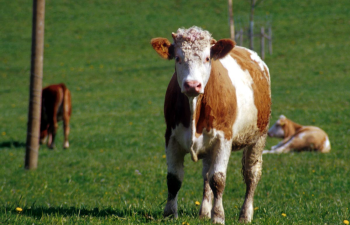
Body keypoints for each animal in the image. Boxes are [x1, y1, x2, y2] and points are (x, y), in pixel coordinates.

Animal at [150, 25, 270, 223]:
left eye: (207, 58)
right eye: (178, 57)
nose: (192, 85)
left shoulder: (224, 139)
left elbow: (218, 179)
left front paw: (218, 216)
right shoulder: (171, 137)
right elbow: (174, 179)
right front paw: (169, 214)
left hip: (259, 136)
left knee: (252, 174)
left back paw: (245, 215)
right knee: (206, 174)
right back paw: (204, 212)